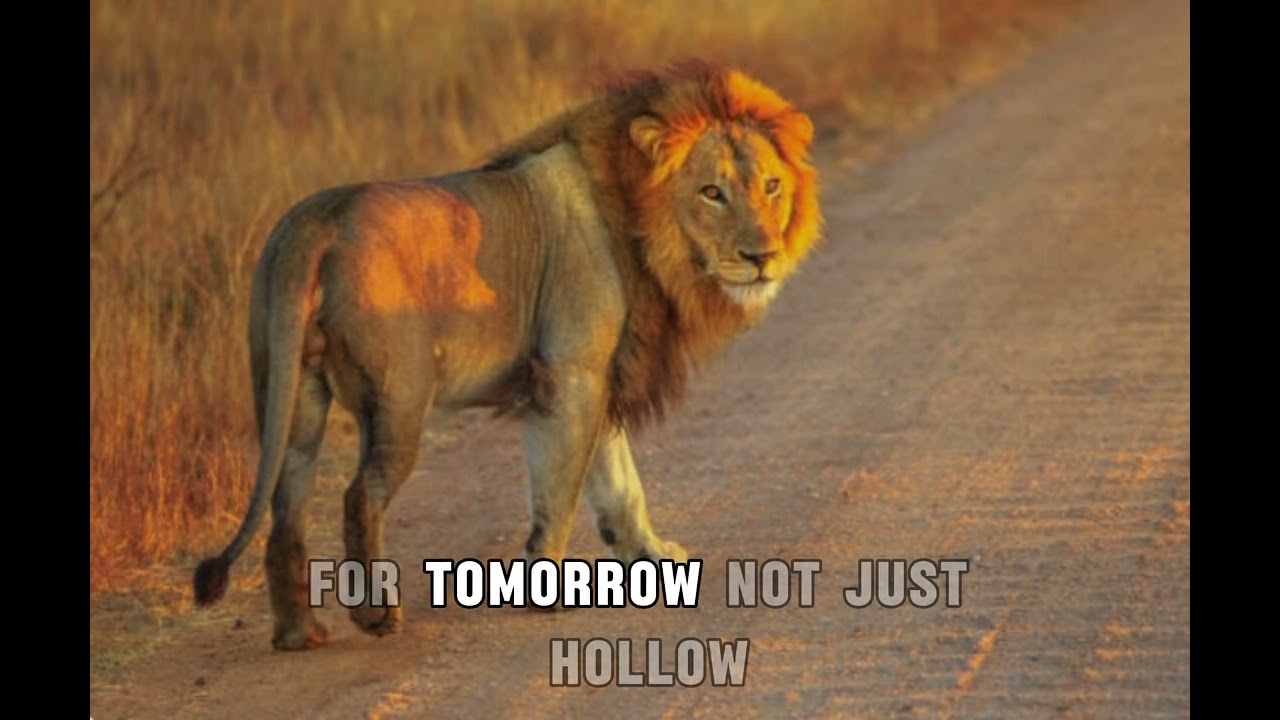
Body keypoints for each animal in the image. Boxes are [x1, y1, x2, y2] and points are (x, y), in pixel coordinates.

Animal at [193, 61, 822, 650]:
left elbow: (619, 483)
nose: (762, 256)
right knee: (358, 496)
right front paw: (548, 589)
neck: (642, 222)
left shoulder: (599, 374)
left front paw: (652, 556)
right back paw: (375, 615)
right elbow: (561, 486)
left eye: (771, 186)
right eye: (712, 193)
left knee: (286, 510)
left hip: (294, 392)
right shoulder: (571, 371)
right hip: (399, 398)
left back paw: (299, 632)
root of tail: (316, 222)